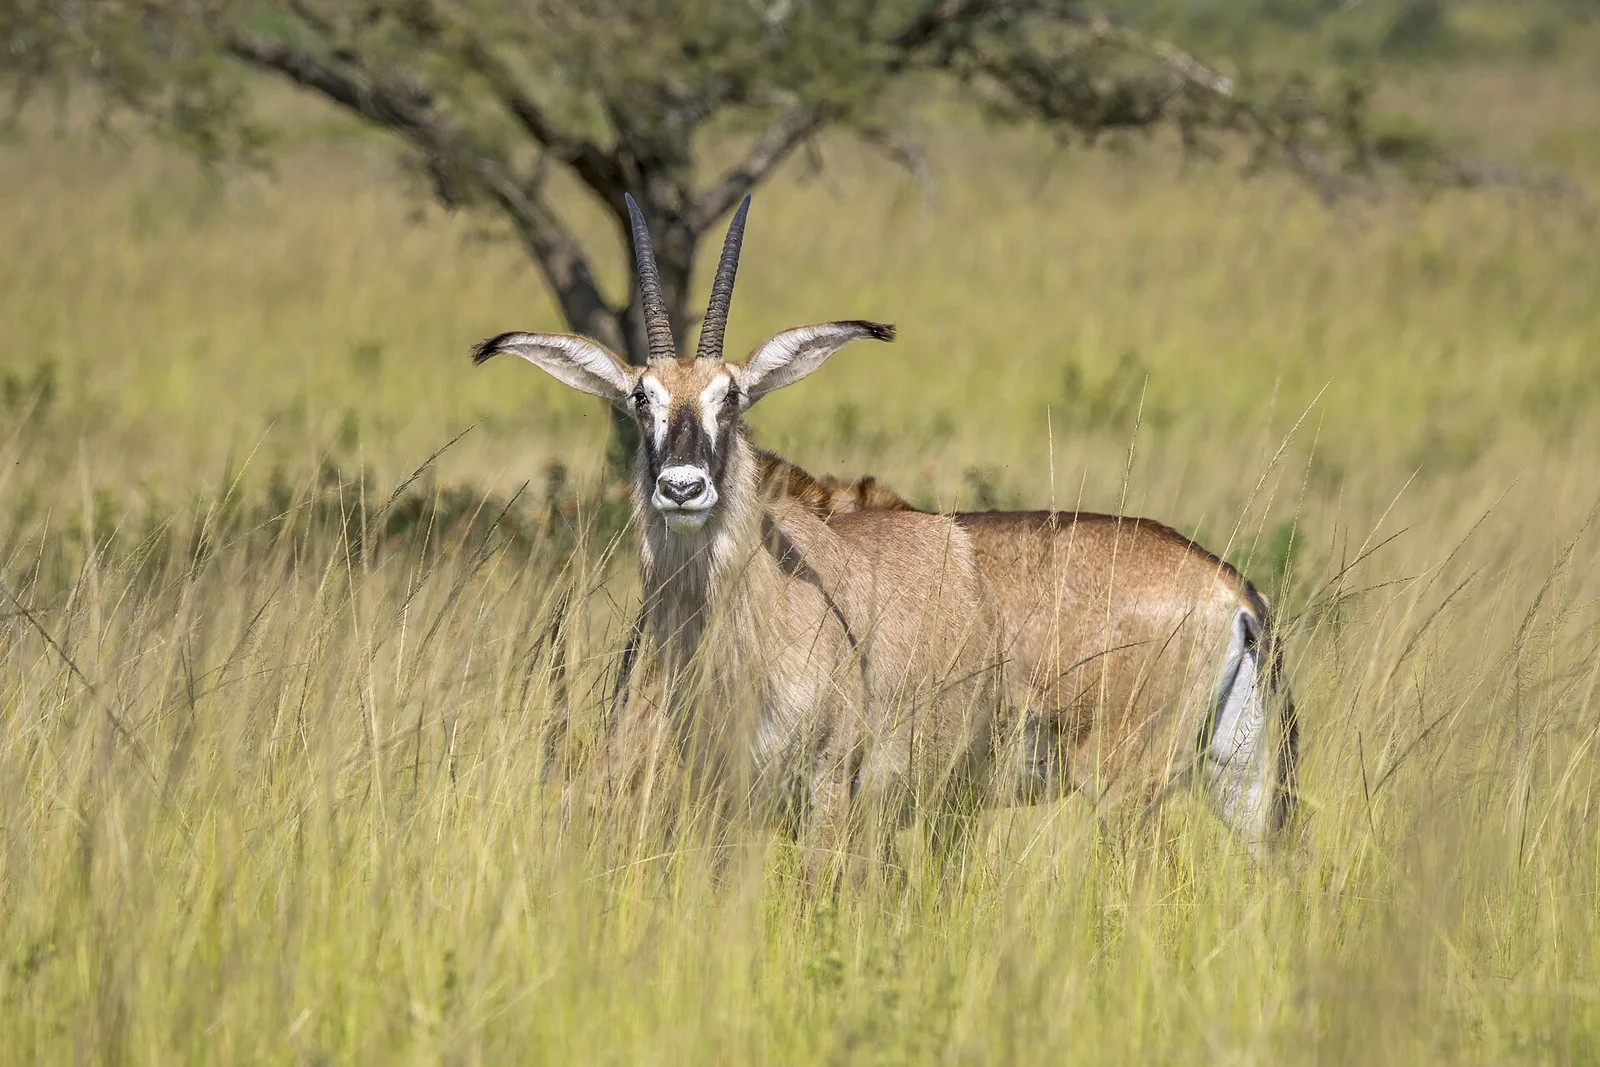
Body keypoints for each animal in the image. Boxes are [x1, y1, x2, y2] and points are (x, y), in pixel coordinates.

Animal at [472, 196, 1002, 875]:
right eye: (641, 397)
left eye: (732, 396)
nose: (682, 488)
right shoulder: (722, 793)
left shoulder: (828, 780)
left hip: (950, 800)